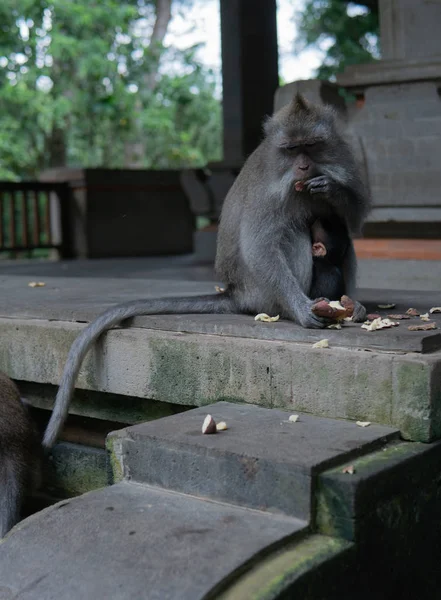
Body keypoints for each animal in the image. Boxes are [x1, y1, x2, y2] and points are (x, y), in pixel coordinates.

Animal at [41, 92, 370, 450]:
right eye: (291, 149)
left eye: (311, 145)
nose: (304, 166)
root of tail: (236, 293)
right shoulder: (268, 190)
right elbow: (259, 244)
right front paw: (301, 309)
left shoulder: (343, 157)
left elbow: (354, 218)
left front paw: (331, 188)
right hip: (261, 293)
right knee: (292, 234)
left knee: (341, 234)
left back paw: (349, 302)